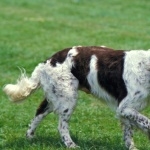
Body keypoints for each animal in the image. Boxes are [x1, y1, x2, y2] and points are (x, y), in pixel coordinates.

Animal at [3, 46, 150, 150]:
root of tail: (47, 62)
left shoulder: (125, 111)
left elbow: (129, 132)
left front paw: (132, 147)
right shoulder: (124, 108)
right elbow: (145, 122)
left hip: (56, 97)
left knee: (38, 113)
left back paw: (30, 137)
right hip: (68, 98)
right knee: (61, 126)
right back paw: (71, 145)